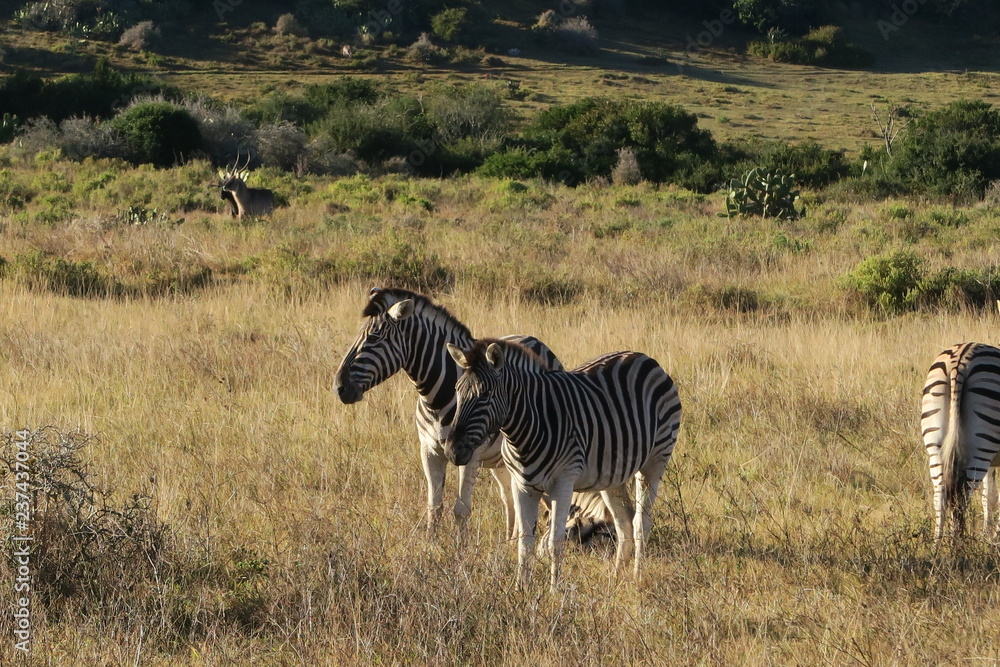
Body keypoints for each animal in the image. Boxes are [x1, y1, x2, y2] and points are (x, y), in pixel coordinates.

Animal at [334, 287, 611, 542]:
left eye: (374, 338)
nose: (339, 387)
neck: (436, 398)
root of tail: (532, 339)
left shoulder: (469, 453)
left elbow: (461, 509)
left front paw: (460, 551)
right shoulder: (429, 449)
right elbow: (434, 506)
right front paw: (430, 545)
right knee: (509, 497)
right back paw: (510, 540)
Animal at [444, 338, 681, 590]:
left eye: (485, 394)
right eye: (457, 391)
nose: (452, 450)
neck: (528, 427)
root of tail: (643, 357)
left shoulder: (563, 483)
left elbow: (554, 544)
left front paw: (554, 591)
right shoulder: (522, 486)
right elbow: (524, 542)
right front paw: (521, 589)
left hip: (655, 461)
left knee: (640, 523)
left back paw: (636, 577)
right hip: (612, 475)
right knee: (623, 520)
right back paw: (618, 576)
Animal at [921, 342, 1000, 543]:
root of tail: (960, 359)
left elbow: (989, 496)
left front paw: (988, 536)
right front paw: (993, 536)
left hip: (935, 445)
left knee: (940, 497)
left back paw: (938, 546)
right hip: (982, 445)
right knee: (962, 497)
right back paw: (958, 546)